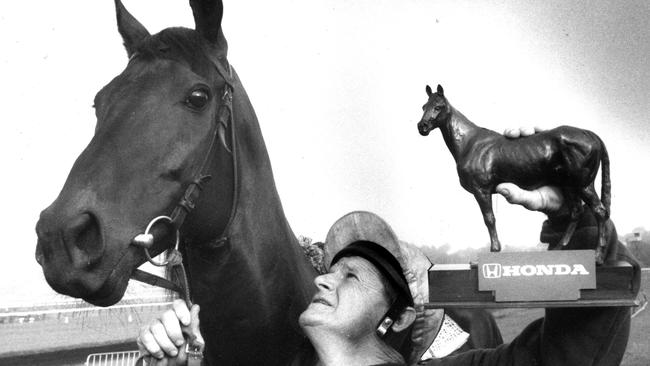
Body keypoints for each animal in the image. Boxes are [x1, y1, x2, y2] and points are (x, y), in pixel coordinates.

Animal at [416, 85, 608, 264]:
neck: (469, 143)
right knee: (576, 212)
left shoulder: (482, 190)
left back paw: (598, 257)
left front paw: (491, 253)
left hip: (583, 184)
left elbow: (489, 219)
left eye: (438, 106)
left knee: (600, 211)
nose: (422, 127)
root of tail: (591, 135)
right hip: (568, 185)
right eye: (424, 106)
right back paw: (560, 249)